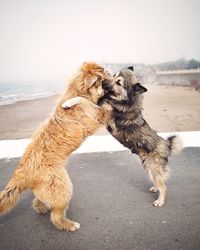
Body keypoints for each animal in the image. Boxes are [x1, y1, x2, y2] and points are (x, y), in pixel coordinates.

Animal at [97, 66, 182, 207]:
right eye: (114, 75)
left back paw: (160, 200)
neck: (127, 102)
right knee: (158, 181)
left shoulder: (109, 119)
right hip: (148, 167)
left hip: (153, 167)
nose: (103, 82)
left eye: (119, 83)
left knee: (163, 186)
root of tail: (167, 145)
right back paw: (155, 188)